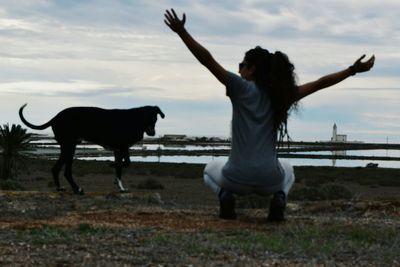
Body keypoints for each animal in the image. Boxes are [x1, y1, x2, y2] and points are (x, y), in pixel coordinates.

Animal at [19, 104, 164, 195]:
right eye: (149, 118)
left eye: (155, 118)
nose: (152, 133)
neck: (135, 120)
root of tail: (55, 117)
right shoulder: (123, 147)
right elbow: (126, 163)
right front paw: (112, 165)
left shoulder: (118, 150)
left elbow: (120, 170)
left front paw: (120, 187)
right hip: (70, 146)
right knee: (66, 172)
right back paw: (77, 190)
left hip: (67, 147)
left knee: (56, 168)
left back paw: (60, 188)